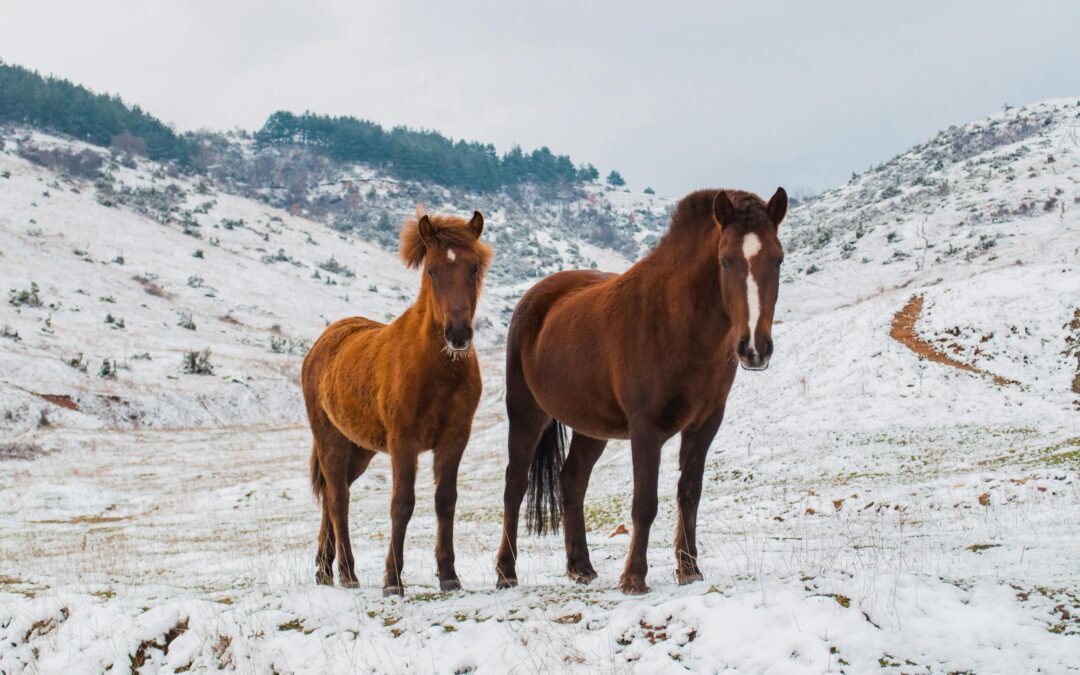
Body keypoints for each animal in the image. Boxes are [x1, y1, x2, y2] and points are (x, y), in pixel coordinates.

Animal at [302, 206, 492, 596]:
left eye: (474, 267)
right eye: (432, 270)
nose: (458, 334)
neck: (436, 370)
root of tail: (321, 344)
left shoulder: (454, 440)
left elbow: (445, 500)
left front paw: (449, 575)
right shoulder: (404, 442)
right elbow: (402, 503)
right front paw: (392, 580)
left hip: (360, 449)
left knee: (331, 496)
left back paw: (325, 571)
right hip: (331, 441)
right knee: (339, 500)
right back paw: (348, 573)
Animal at [495, 187, 787, 594]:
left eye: (778, 259)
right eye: (725, 261)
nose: (754, 348)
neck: (677, 322)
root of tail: (534, 297)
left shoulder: (705, 424)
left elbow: (689, 493)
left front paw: (689, 569)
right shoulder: (646, 429)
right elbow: (645, 502)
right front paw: (634, 576)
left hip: (591, 427)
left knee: (572, 481)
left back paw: (580, 567)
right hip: (526, 413)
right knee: (515, 485)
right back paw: (506, 572)